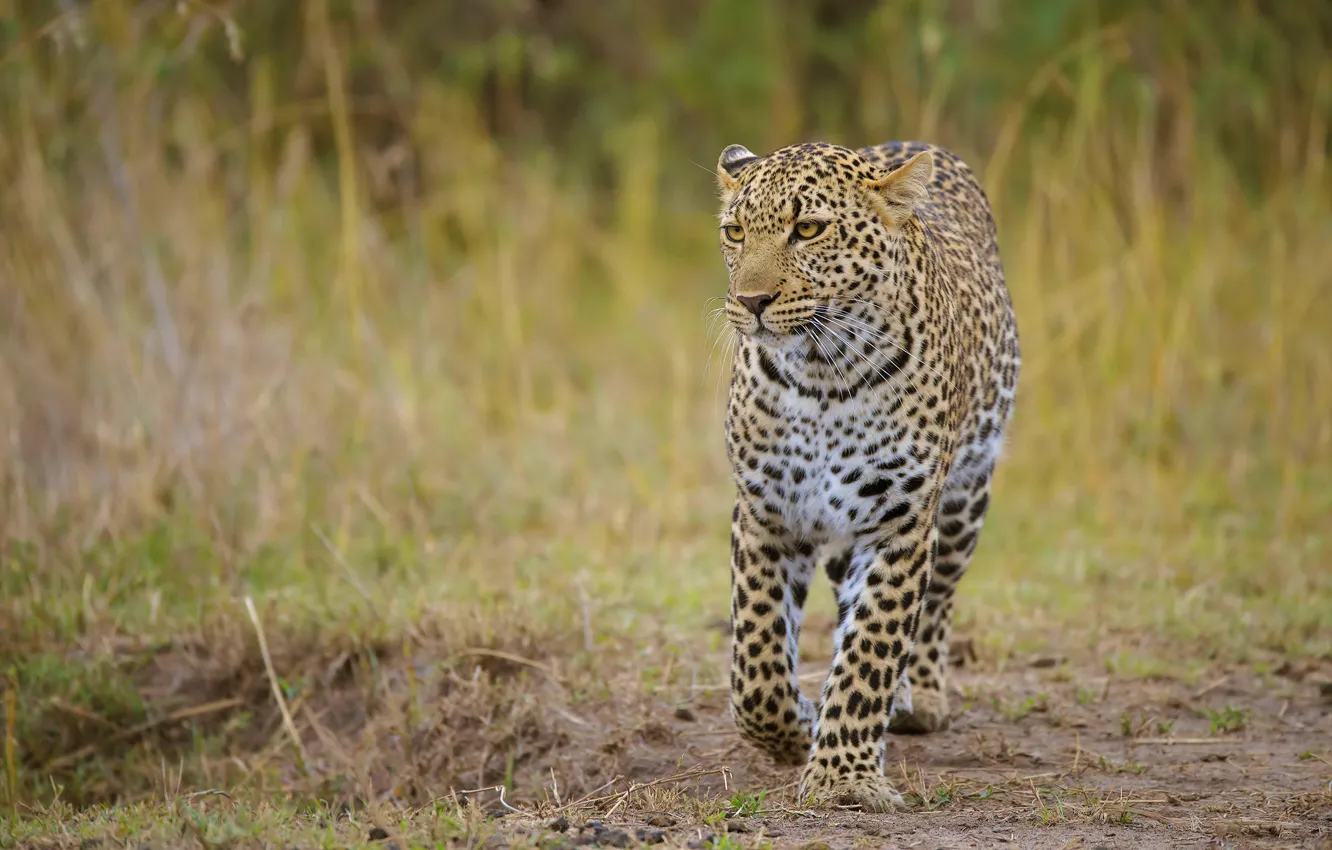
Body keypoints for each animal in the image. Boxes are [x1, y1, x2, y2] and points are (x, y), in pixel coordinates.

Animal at [714, 139, 1020, 812]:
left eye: (808, 229)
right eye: (734, 232)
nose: (749, 303)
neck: (822, 375)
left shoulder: (900, 521)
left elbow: (872, 650)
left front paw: (842, 779)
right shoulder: (767, 513)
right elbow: (756, 663)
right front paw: (792, 730)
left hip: (964, 502)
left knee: (934, 604)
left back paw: (918, 696)